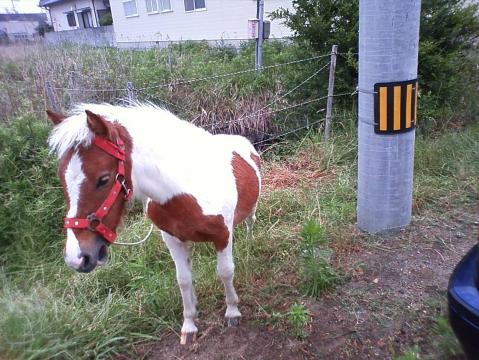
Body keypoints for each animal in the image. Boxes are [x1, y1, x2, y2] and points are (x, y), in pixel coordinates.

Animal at [47, 102, 260, 344]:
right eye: (61, 178)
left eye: (103, 179)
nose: (77, 258)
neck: (189, 190)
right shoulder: (172, 240)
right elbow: (183, 279)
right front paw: (189, 324)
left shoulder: (223, 235)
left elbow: (225, 271)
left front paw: (232, 312)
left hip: (251, 209)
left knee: (251, 221)